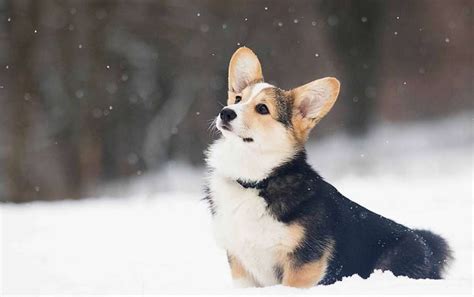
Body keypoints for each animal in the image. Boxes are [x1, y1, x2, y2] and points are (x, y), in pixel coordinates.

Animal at [204, 46, 452, 286]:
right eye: (237, 99)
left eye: (262, 109)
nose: (225, 112)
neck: (255, 180)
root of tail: (428, 250)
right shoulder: (240, 264)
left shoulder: (304, 263)